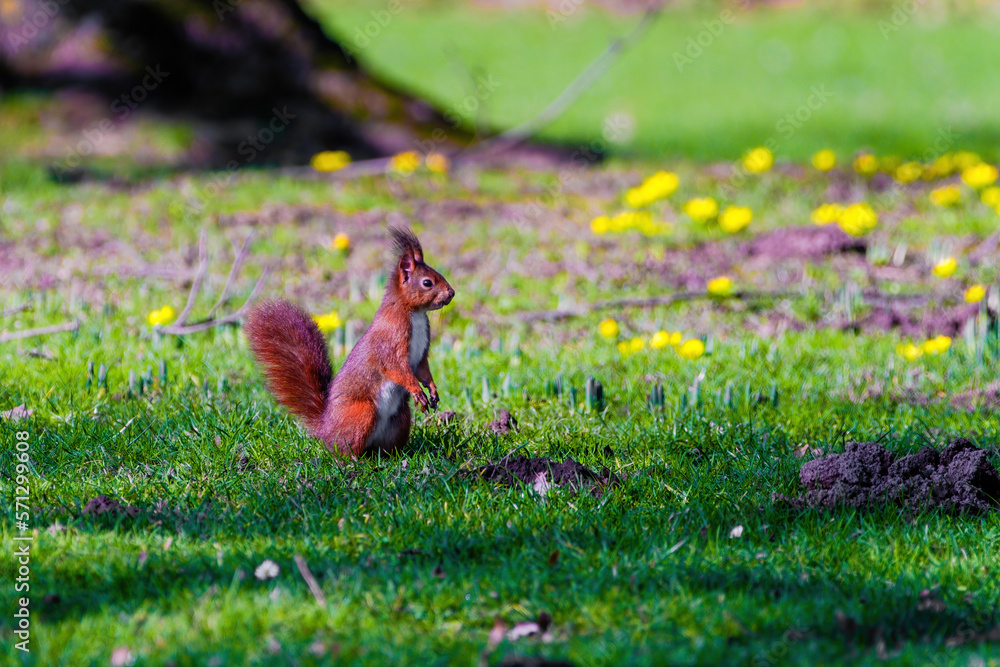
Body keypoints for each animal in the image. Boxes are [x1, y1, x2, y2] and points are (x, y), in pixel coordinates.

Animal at [244, 227, 455, 458]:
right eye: (427, 282)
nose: (451, 293)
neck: (413, 313)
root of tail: (325, 429)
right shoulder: (390, 344)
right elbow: (397, 369)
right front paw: (416, 390)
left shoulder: (421, 354)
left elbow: (423, 370)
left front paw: (432, 390)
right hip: (363, 412)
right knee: (345, 450)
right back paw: (355, 460)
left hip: (400, 419)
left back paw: (396, 457)